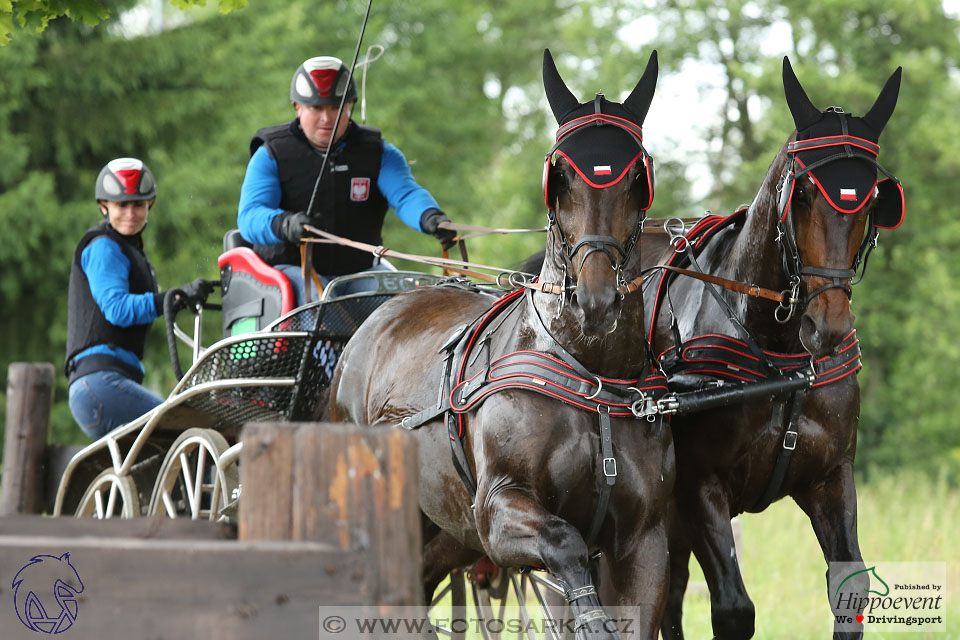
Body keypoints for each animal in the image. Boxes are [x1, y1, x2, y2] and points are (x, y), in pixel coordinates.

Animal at [330, 48, 676, 636]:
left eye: (638, 178)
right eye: (559, 175)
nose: (596, 300)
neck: (588, 371)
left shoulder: (644, 538)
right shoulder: (496, 512)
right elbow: (565, 545)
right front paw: (589, 617)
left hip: (443, 527)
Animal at [648, 57, 904, 636]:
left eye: (873, 200)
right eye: (803, 192)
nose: (826, 326)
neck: (781, 356)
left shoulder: (832, 477)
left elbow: (850, 588)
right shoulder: (698, 489)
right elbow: (734, 608)